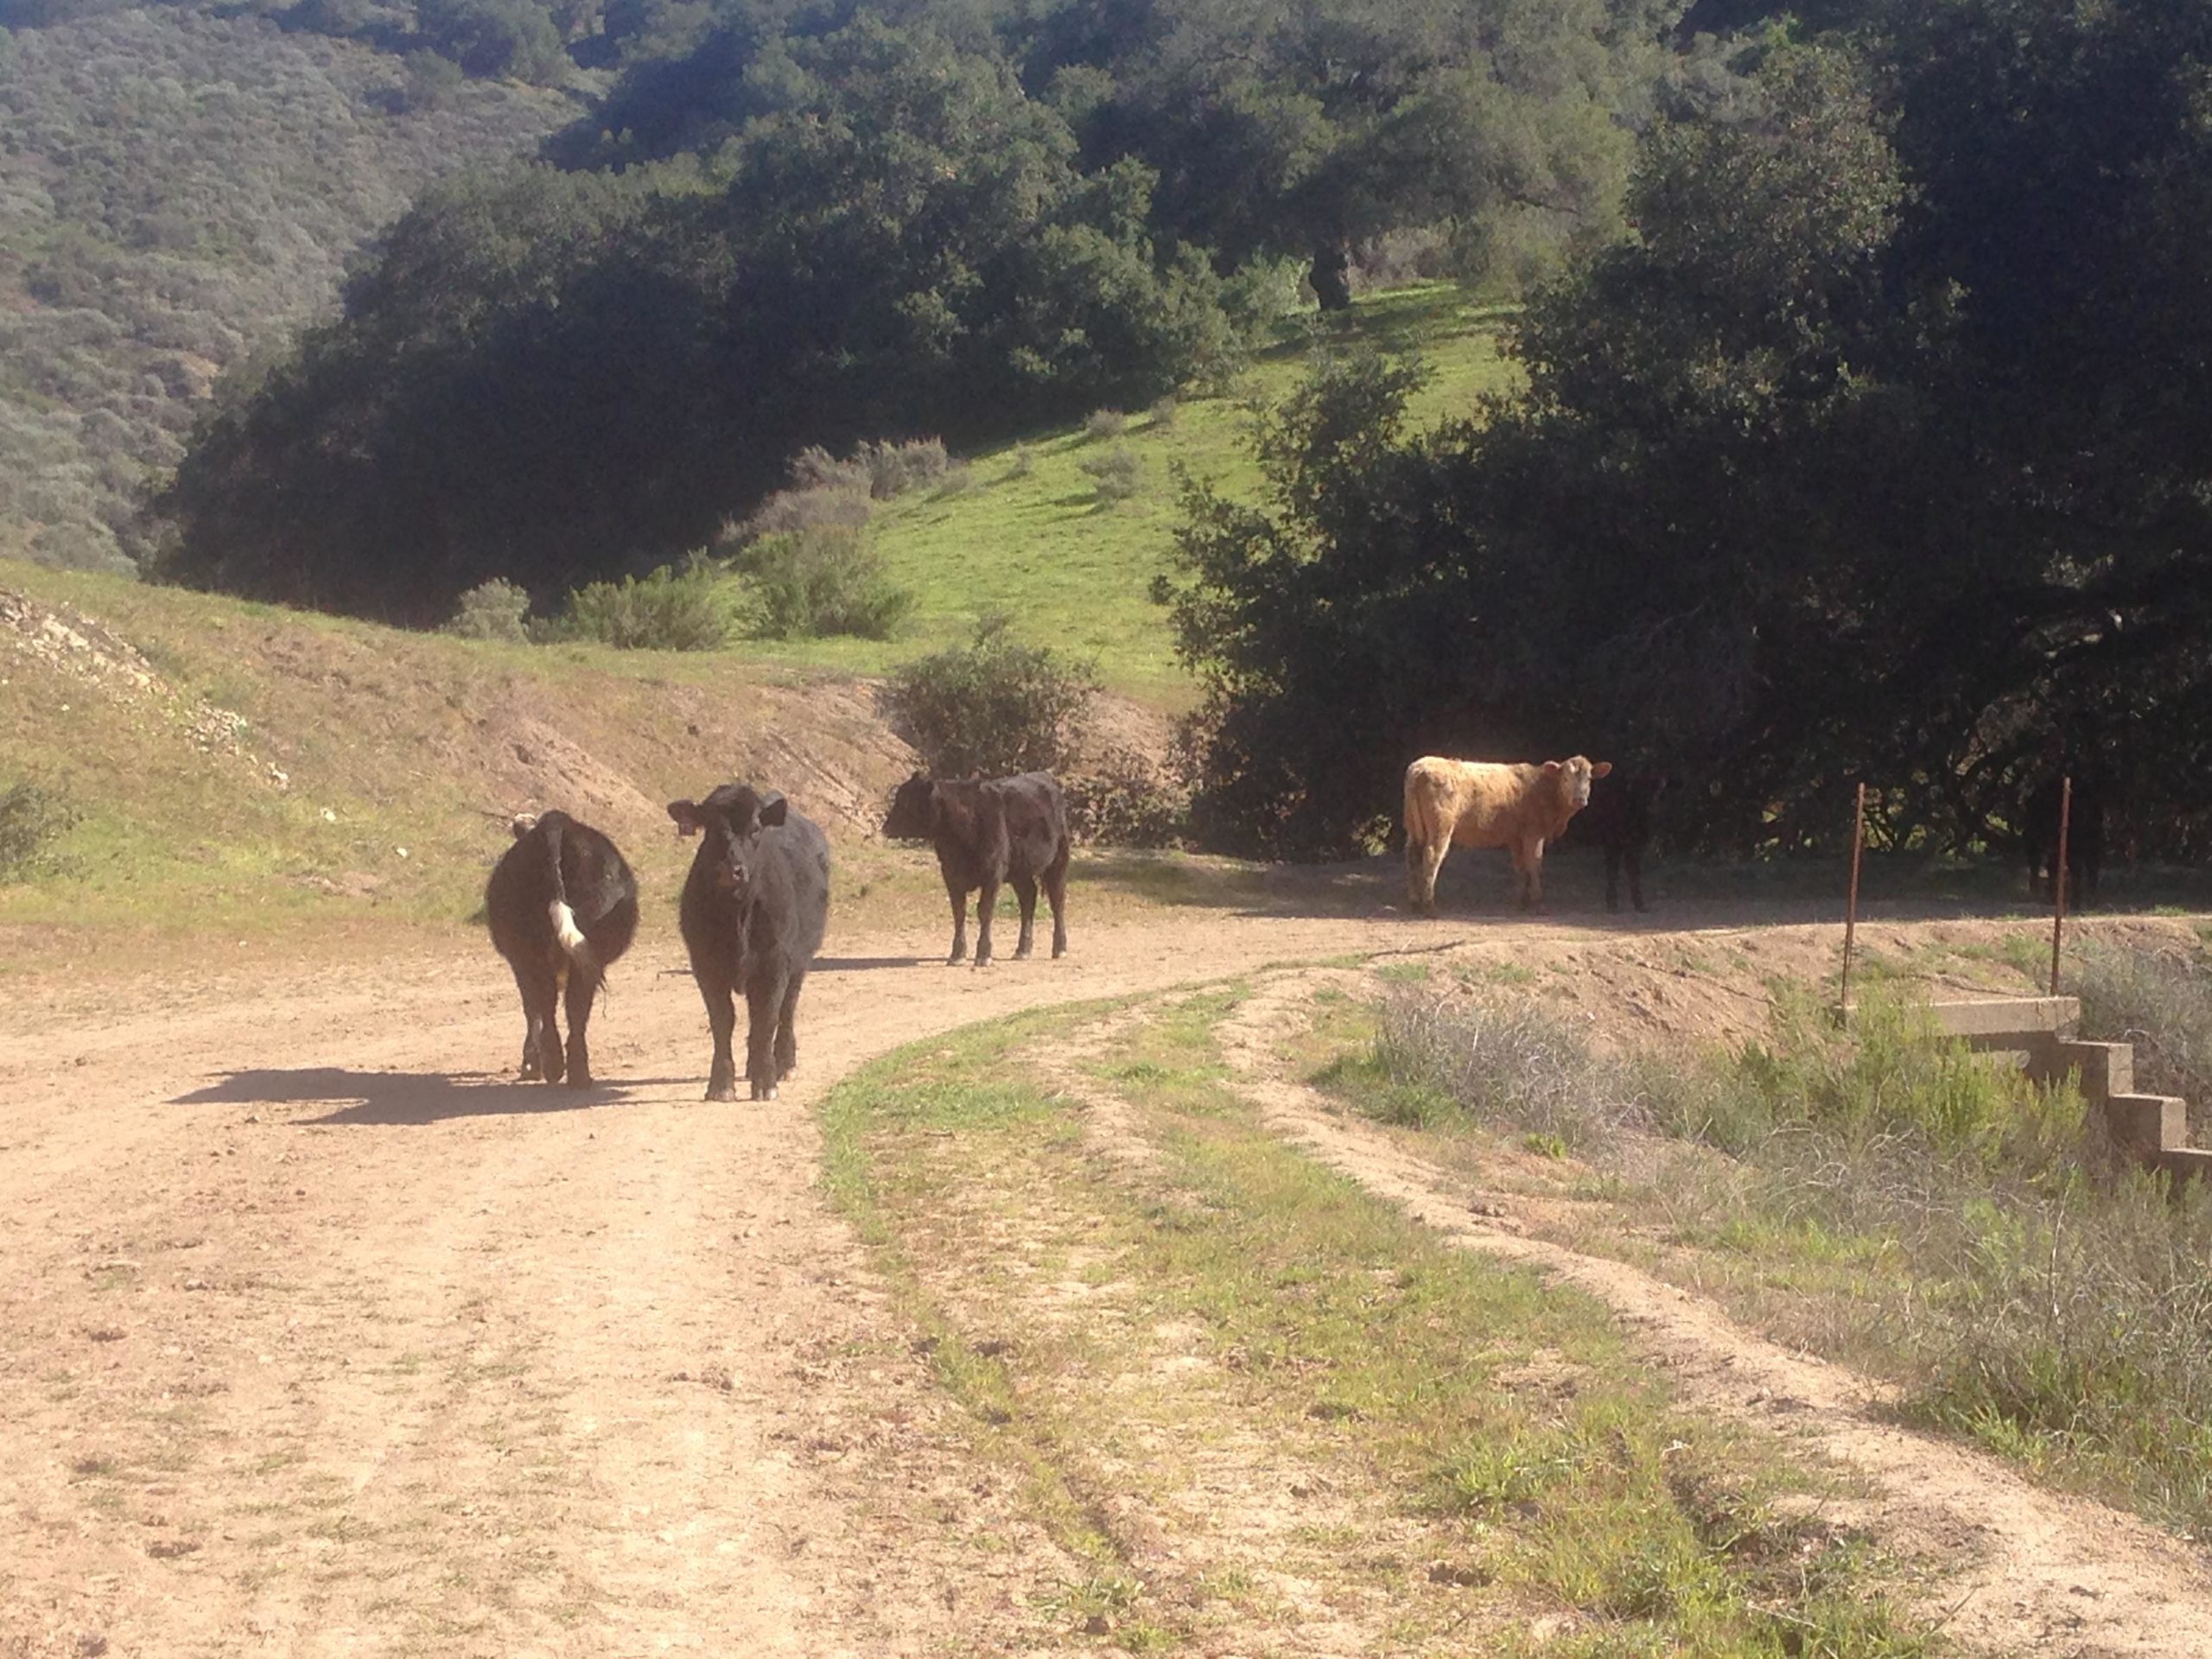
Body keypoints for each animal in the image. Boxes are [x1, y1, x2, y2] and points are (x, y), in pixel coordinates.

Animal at [668, 783, 830, 1102]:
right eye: (709, 828)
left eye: (755, 829)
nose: (730, 870)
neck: (738, 914)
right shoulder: (705, 966)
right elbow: (723, 1021)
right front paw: (721, 1084)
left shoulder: (775, 963)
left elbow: (767, 1017)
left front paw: (766, 1082)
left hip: (800, 961)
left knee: (787, 1009)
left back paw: (783, 1064)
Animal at [881, 770, 1070, 967]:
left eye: (906, 802)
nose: (885, 828)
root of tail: (1044, 777)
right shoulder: (950, 874)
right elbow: (959, 912)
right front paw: (957, 955)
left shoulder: (993, 873)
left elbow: (984, 910)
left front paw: (983, 955)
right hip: (1020, 871)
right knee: (1028, 900)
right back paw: (1023, 950)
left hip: (1059, 860)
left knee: (1057, 901)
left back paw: (1059, 948)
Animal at [1404, 754, 1612, 914]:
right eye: (1566, 778)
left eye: (1589, 779)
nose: (1579, 799)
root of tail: (1420, 767)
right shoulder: (1533, 834)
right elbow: (1534, 864)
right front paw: (1537, 902)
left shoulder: (1516, 838)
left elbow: (1520, 866)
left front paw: (1522, 900)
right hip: (1441, 827)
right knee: (1432, 856)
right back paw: (1429, 906)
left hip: (1413, 829)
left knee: (1412, 856)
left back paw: (1414, 902)